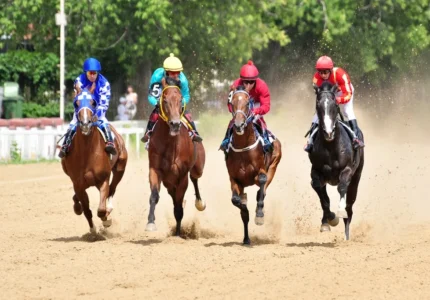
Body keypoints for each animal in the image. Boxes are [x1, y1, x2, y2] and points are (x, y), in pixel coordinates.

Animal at [60, 88, 127, 233]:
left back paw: (109, 208)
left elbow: (101, 209)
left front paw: (106, 219)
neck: (87, 153)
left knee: (112, 189)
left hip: (120, 168)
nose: (85, 123)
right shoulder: (78, 184)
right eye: (76, 103)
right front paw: (92, 229)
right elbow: (86, 210)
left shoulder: (103, 180)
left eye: (93, 102)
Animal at [145, 76, 206, 236]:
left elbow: (179, 207)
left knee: (194, 178)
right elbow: (154, 195)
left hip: (198, 168)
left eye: (180, 100)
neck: (171, 144)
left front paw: (178, 234)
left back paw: (199, 203)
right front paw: (151, 222)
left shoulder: (182, 175)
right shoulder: (155, 169)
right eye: (165, 100)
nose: (175, 124)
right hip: (168, 182)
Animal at [225, 84, 282, 244]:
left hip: (273, 166)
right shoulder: (235, 179)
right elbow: (236, 200)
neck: (243, 147)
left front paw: (259, 214)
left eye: (247, 103)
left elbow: (261, 183)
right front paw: (244, 206)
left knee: (263, 188)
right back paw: (246, 239)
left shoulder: (261, 171)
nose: (238, 125)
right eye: (232, 102)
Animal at [308, 81, 364, 240]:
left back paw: (346, 235)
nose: (328, 132)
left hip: (357, 177)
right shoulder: (316, 170)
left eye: (335, 105)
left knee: (350, 206)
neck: (330, 146)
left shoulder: (347, 170)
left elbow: (342, 188)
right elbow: (322, 195)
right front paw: (329, 219)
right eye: (318, 105)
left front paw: (339, 212)